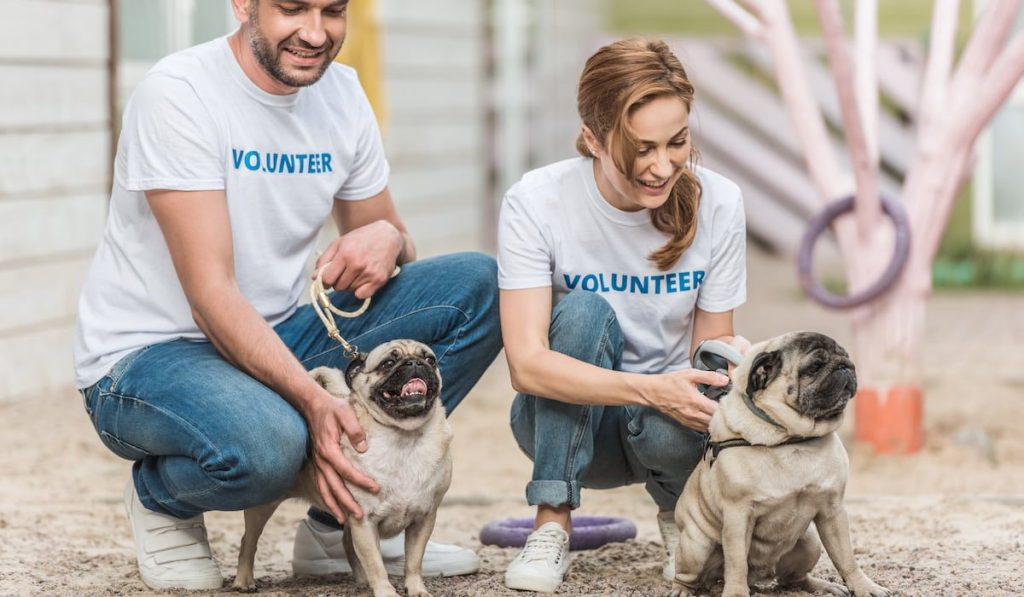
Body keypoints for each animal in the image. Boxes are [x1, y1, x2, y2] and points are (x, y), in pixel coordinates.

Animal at [237, 342, 454, 597]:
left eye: (430, 360)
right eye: (388, 363)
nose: (415, 363)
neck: (403, 437)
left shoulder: (423, 519)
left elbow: (413, 561)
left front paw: (417, 588)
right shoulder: (364, 521)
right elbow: (376, 564)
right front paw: (386, 591)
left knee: (348, 545)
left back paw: (361, 579)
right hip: (264, 506)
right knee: (248, 541)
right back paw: (243, 580)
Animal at [667, 331, 892, 597]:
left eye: (845, 356)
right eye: (814, 367)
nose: (845, 366)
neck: (792, 438)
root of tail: (761, 576)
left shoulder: (833, 511)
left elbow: (846, 558)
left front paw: (864, 586)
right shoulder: (738, 516)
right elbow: (736, 564)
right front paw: (736, 592)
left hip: (810, 543)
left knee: (793, 579)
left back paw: (823, 586)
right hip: (696, 547)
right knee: (690, 576)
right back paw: (683, 590)